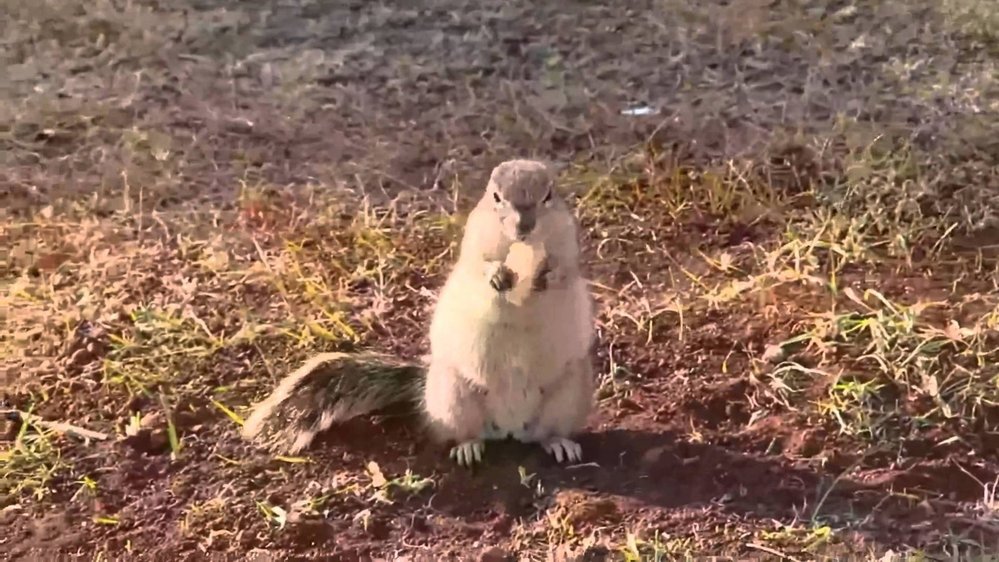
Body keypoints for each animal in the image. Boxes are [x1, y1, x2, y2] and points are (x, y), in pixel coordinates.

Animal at [241, 158, 592, 464]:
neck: (520, 249)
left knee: (545, 432)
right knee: (466, 432)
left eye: (548, 195)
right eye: (495, 197)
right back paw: (468, 448)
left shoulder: (566, 241)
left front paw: (549, 275)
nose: (524, 226)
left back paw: (558, 443)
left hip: (570, 393)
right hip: (454, 395)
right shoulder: (473, 243)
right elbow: (476, 267)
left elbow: (565, 269)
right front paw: (495, 273)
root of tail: (510, 426)